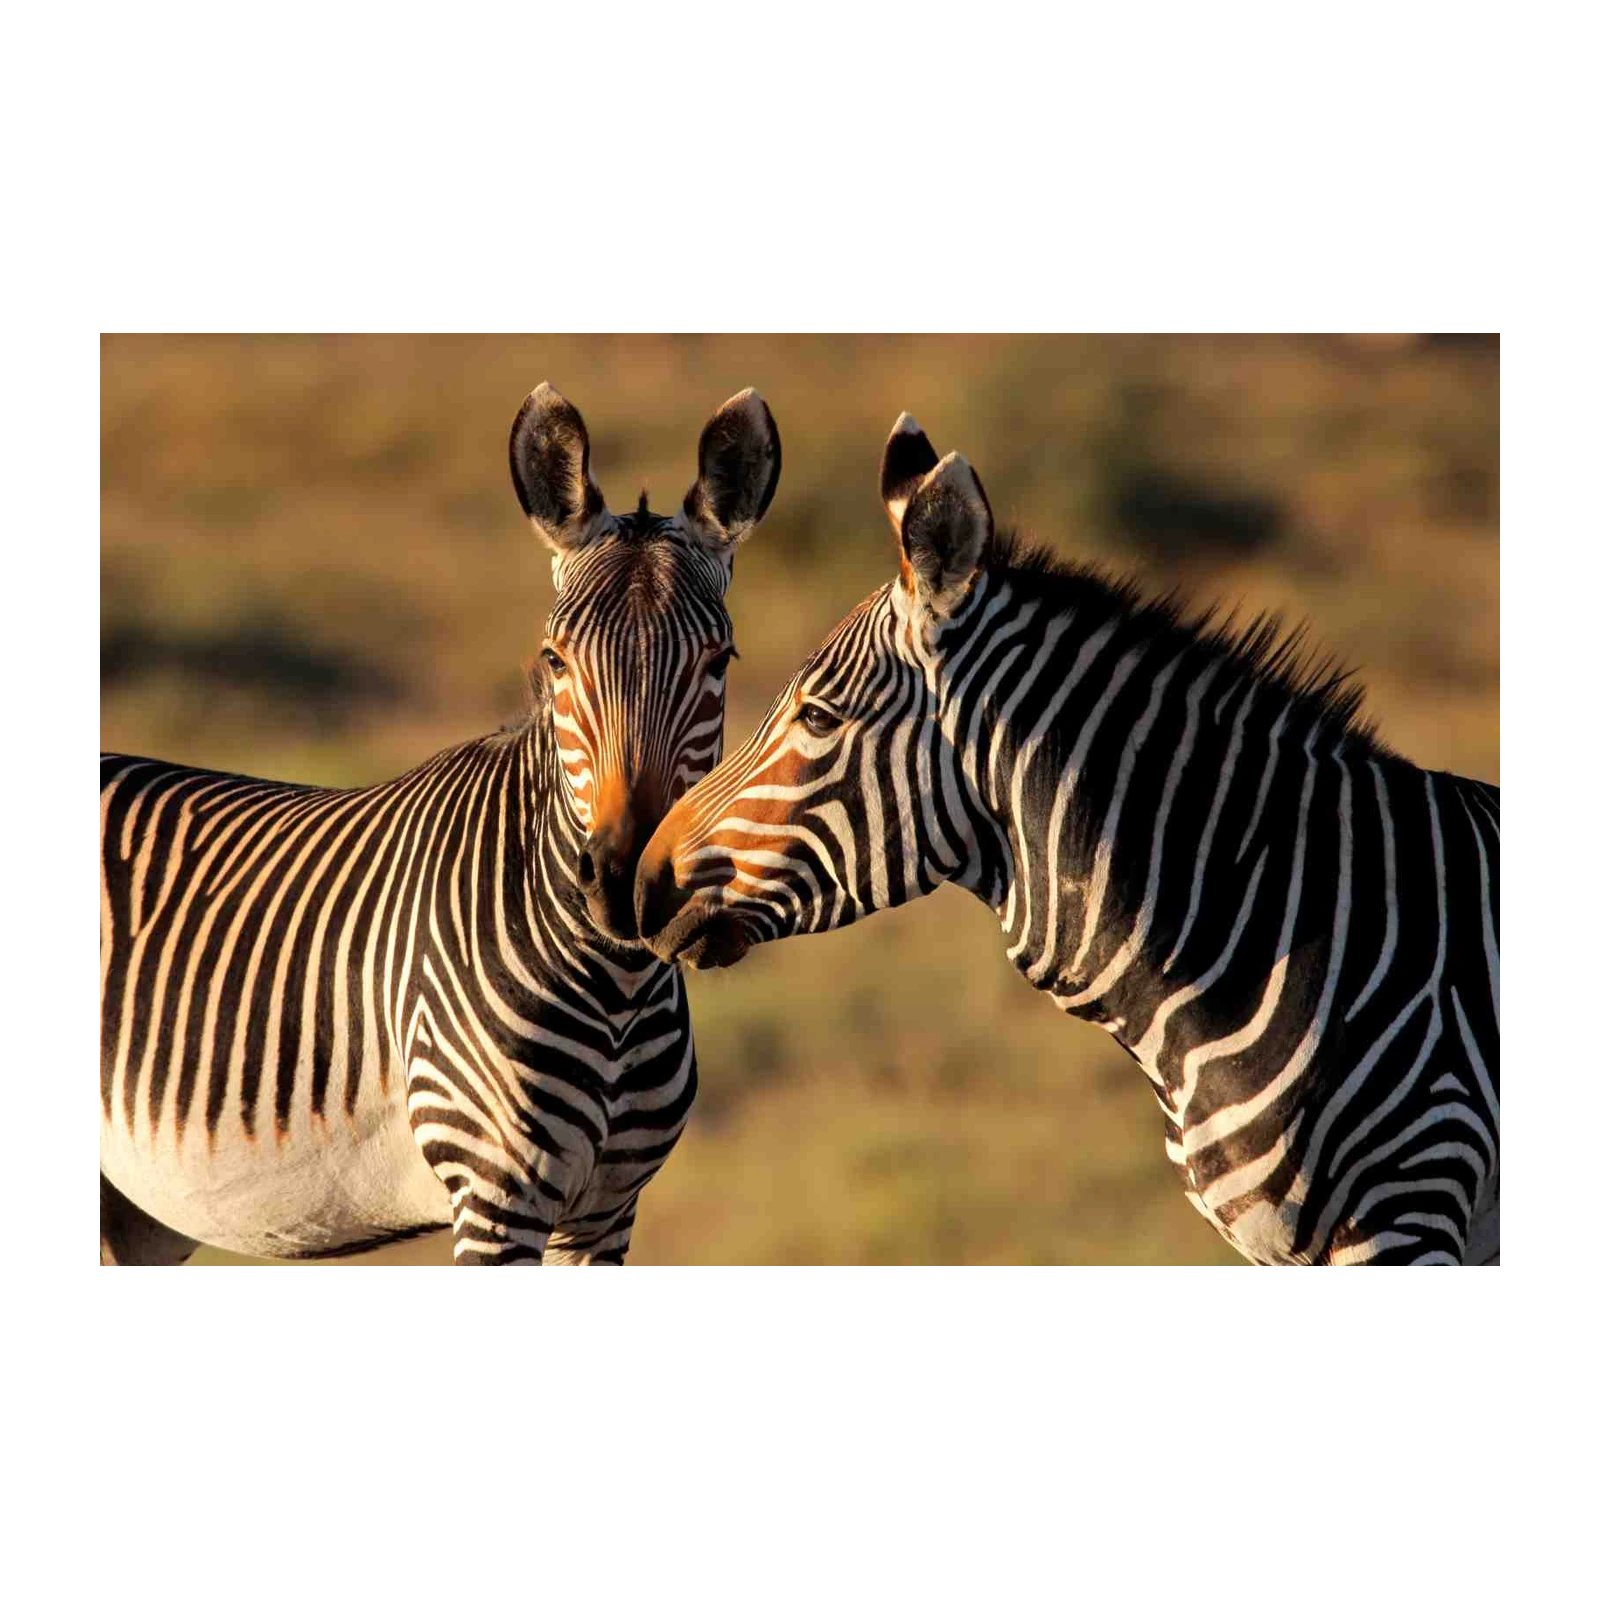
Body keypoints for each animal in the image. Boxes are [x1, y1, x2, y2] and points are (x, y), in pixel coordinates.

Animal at [98, 381, 781, 1270]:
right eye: (554, 660)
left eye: (720, 662)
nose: (624, 883)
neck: (618, 988)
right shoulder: (497, 1197)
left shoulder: (604, 1212)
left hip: (135, 1207)